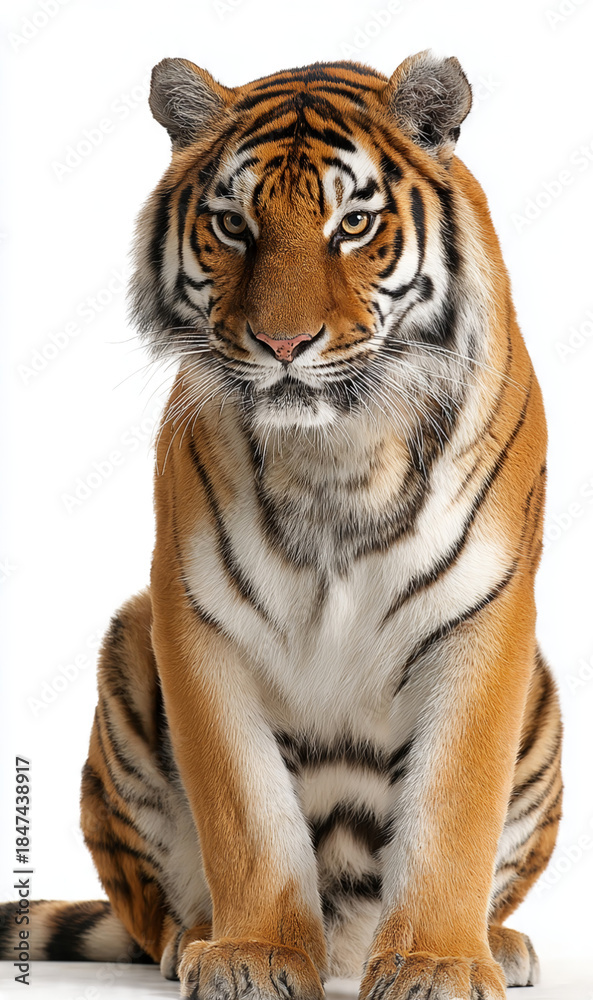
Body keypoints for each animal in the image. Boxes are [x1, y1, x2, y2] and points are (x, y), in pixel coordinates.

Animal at [0, 52, 562, 1000]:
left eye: (354, 224)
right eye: (232, 225)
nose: (283, 344)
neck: (339, 451)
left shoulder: (483, 616)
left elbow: (453, 808)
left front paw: (440, 963)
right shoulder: (194, 615)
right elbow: (246, 814)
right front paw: (254, 953)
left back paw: (498, 943)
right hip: (127, 650)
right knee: (149, 909)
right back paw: (194, 938)